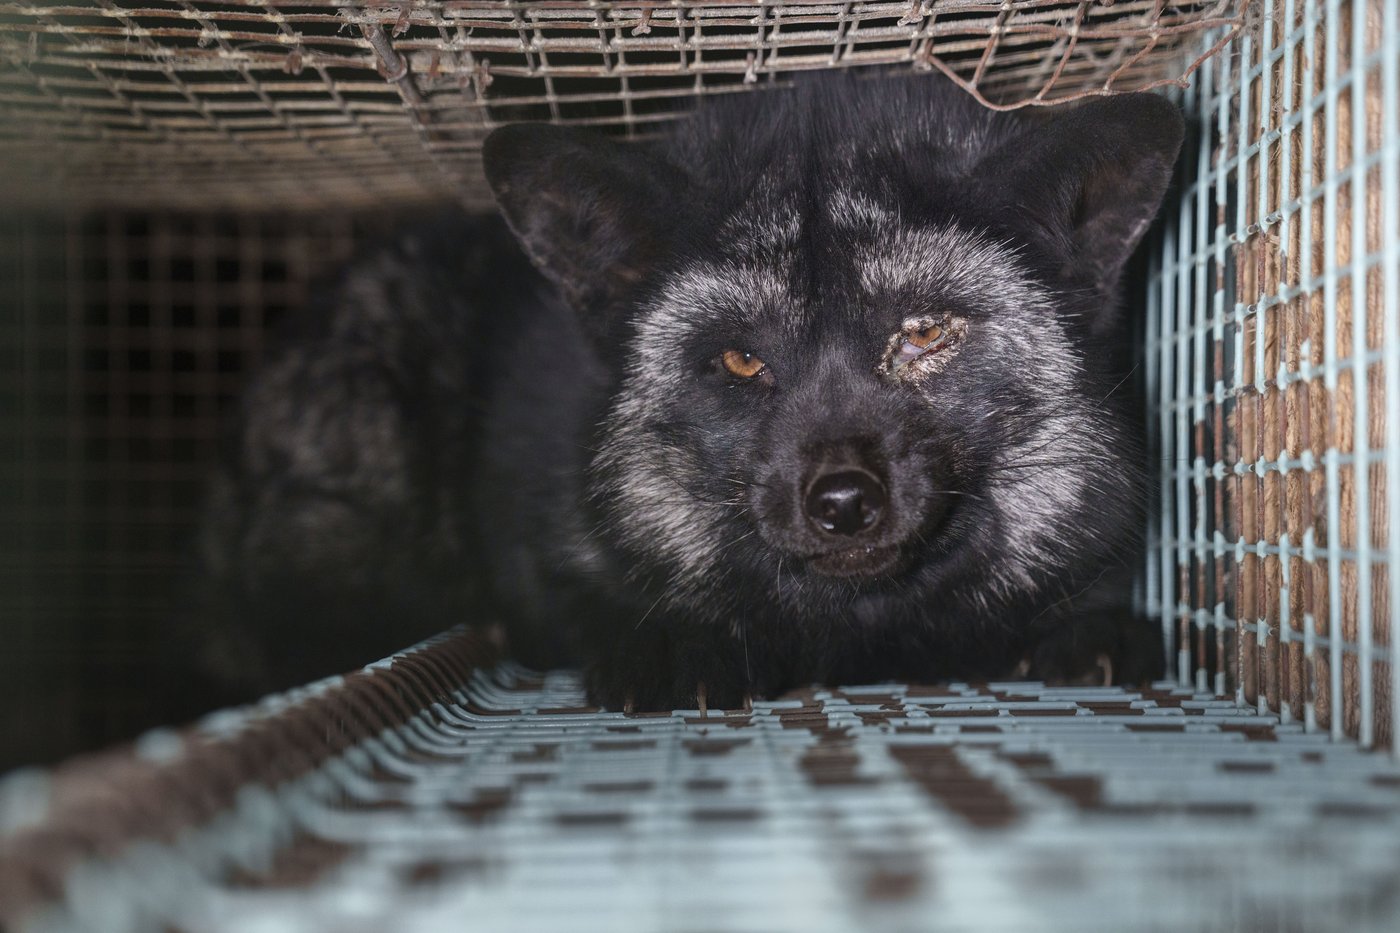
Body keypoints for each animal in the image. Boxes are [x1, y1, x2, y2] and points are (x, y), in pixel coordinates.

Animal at [195, 74, 1183, 712]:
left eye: (923, 333)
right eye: (741, 361)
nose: (842, 501)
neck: (861, 636)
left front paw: (1087, 632)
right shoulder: (541, 546)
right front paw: (677, 643)